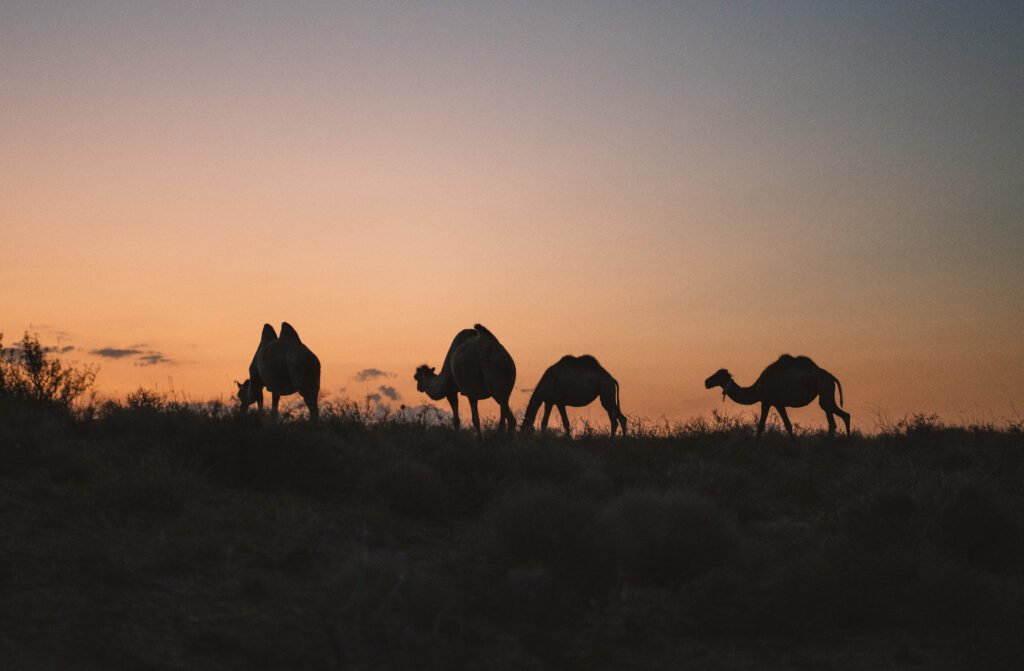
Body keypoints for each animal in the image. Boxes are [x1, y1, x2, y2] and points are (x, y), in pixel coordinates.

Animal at [704, 354, 850, 437]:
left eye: (718, 375)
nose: (706, 382)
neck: (758, 387)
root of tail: (831, 377)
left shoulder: (767, 401)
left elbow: (761, 426)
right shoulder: (777, 403)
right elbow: (788, 425)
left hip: (825, 390)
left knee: (832, 422)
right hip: (828, 394)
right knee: (845, 415)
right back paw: (847, 440)